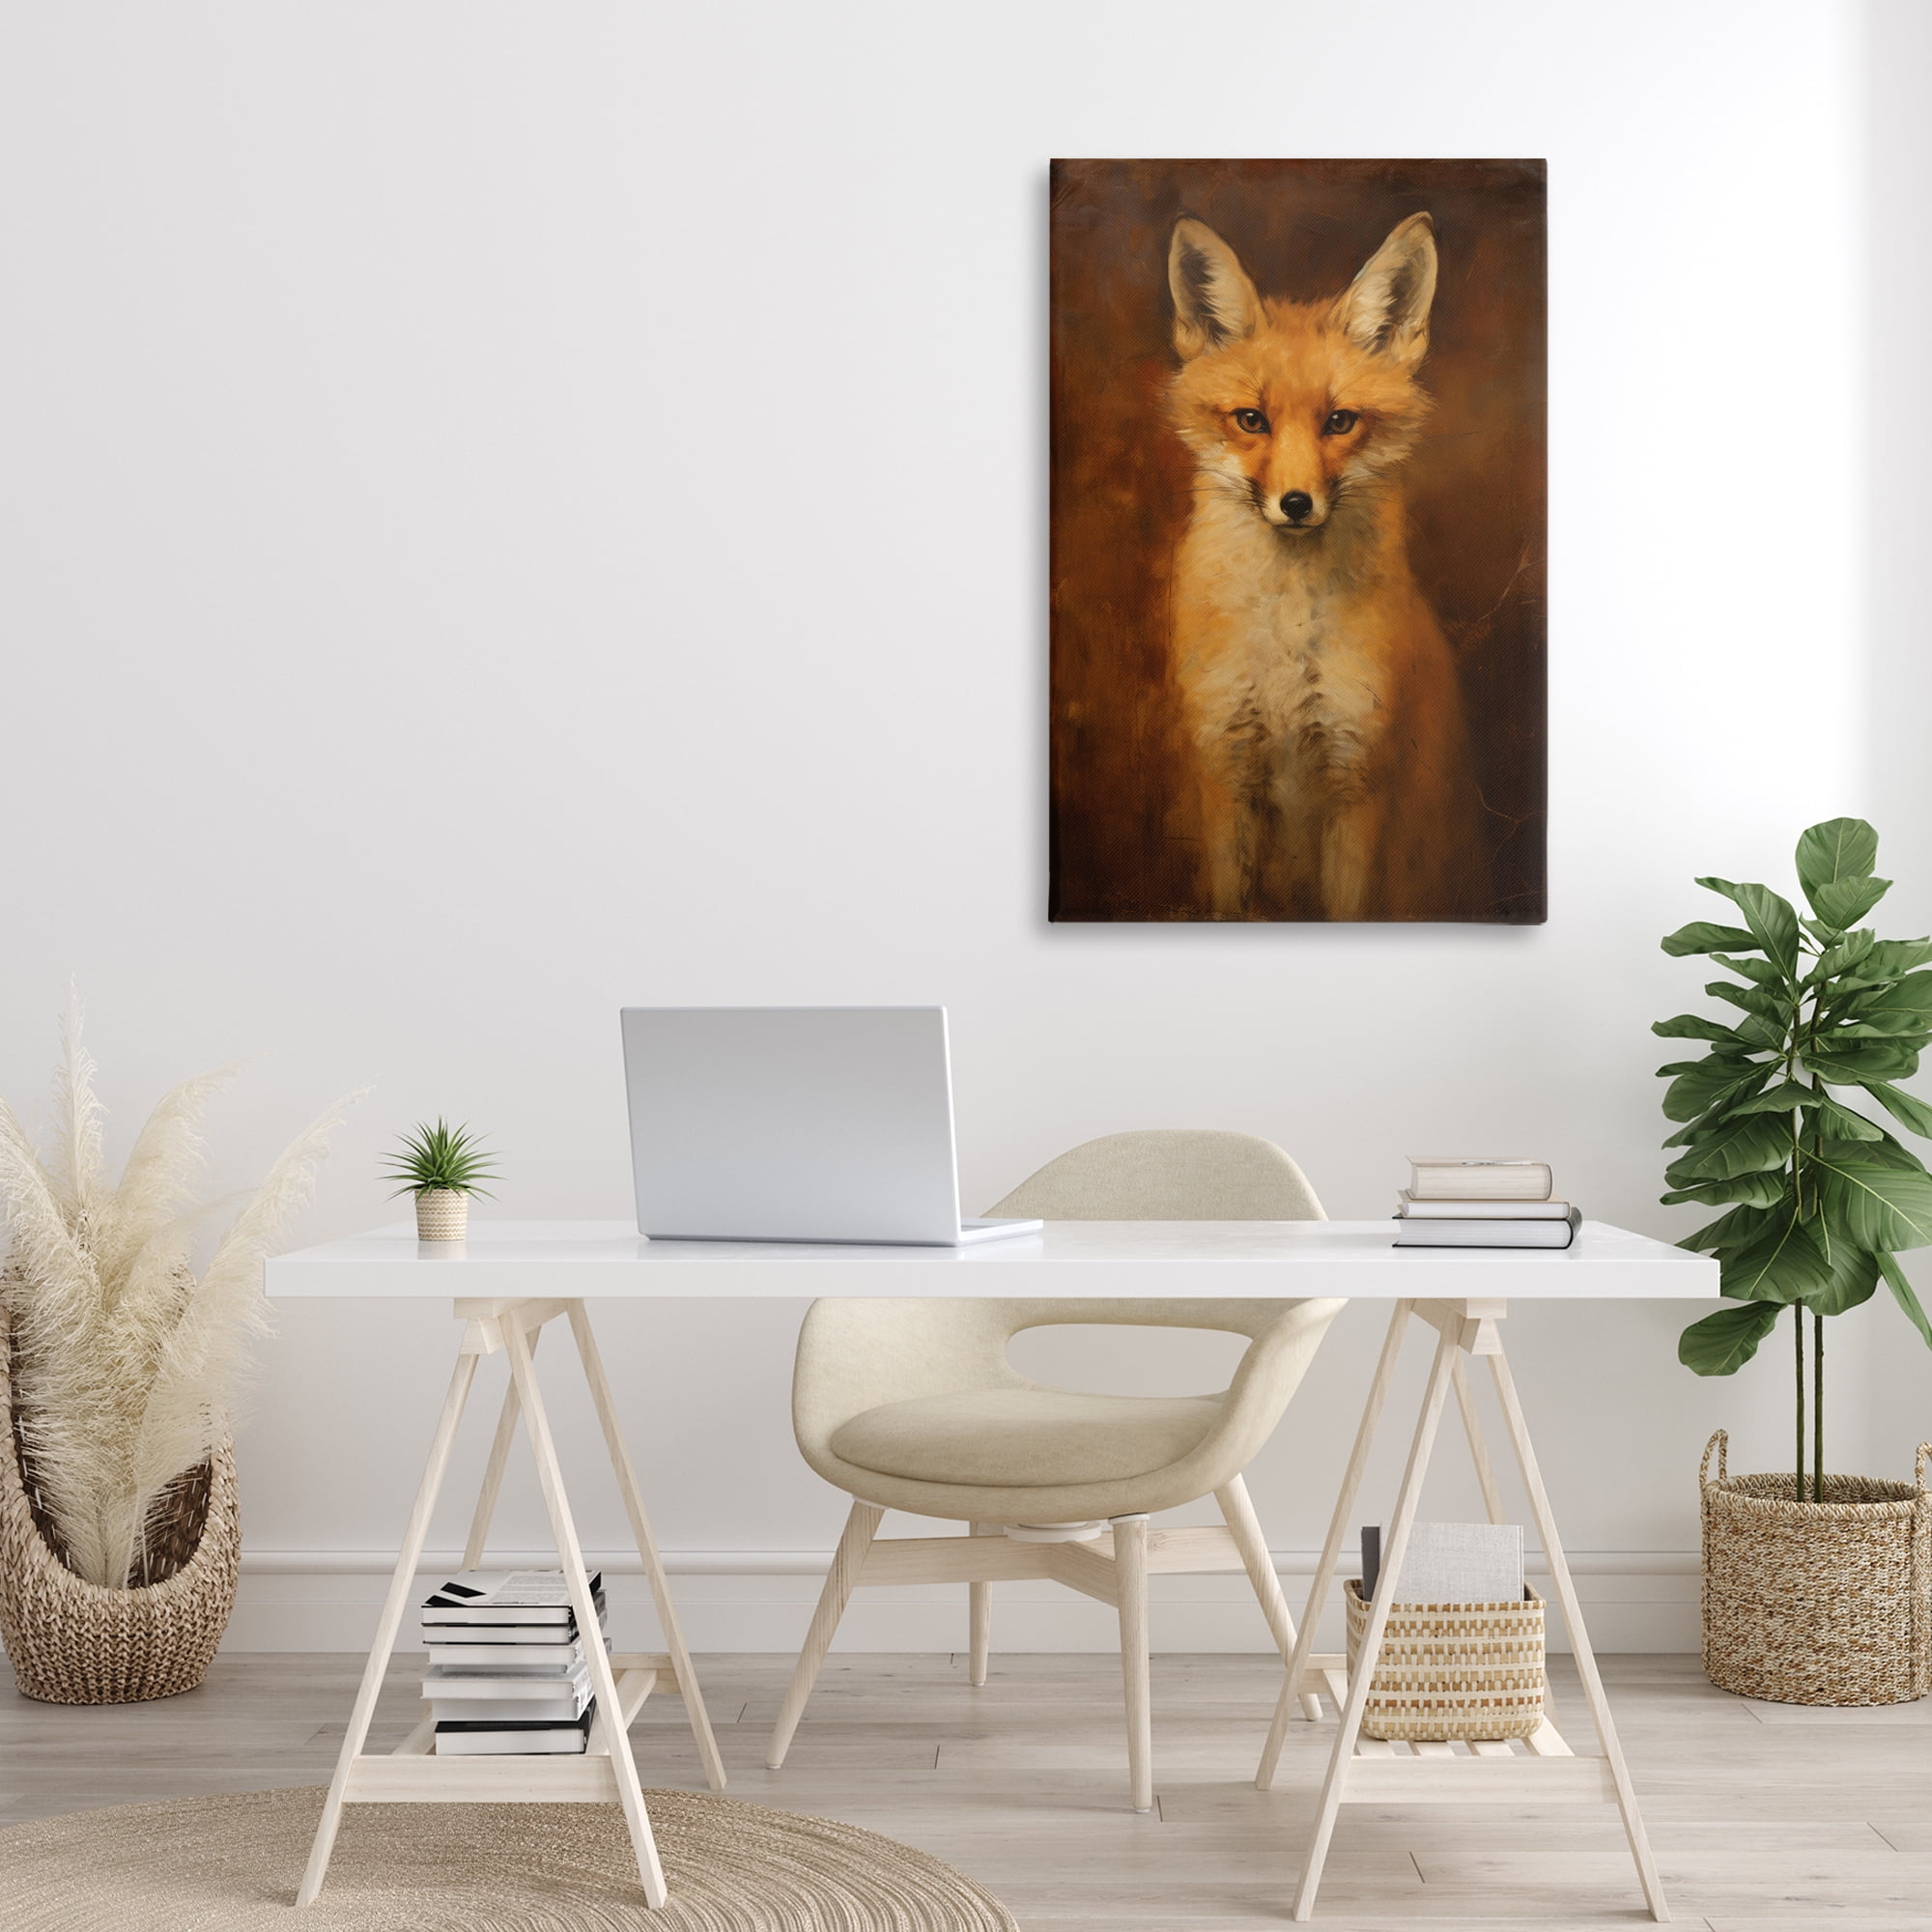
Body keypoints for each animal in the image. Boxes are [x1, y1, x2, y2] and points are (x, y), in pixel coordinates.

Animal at [1164, 212, 1486, 921]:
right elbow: (1229, 906)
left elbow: (1348, 907)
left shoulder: (1357, 778)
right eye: (1251, 420)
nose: (1295, 504)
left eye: (1340, 421)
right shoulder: (1225, 769)